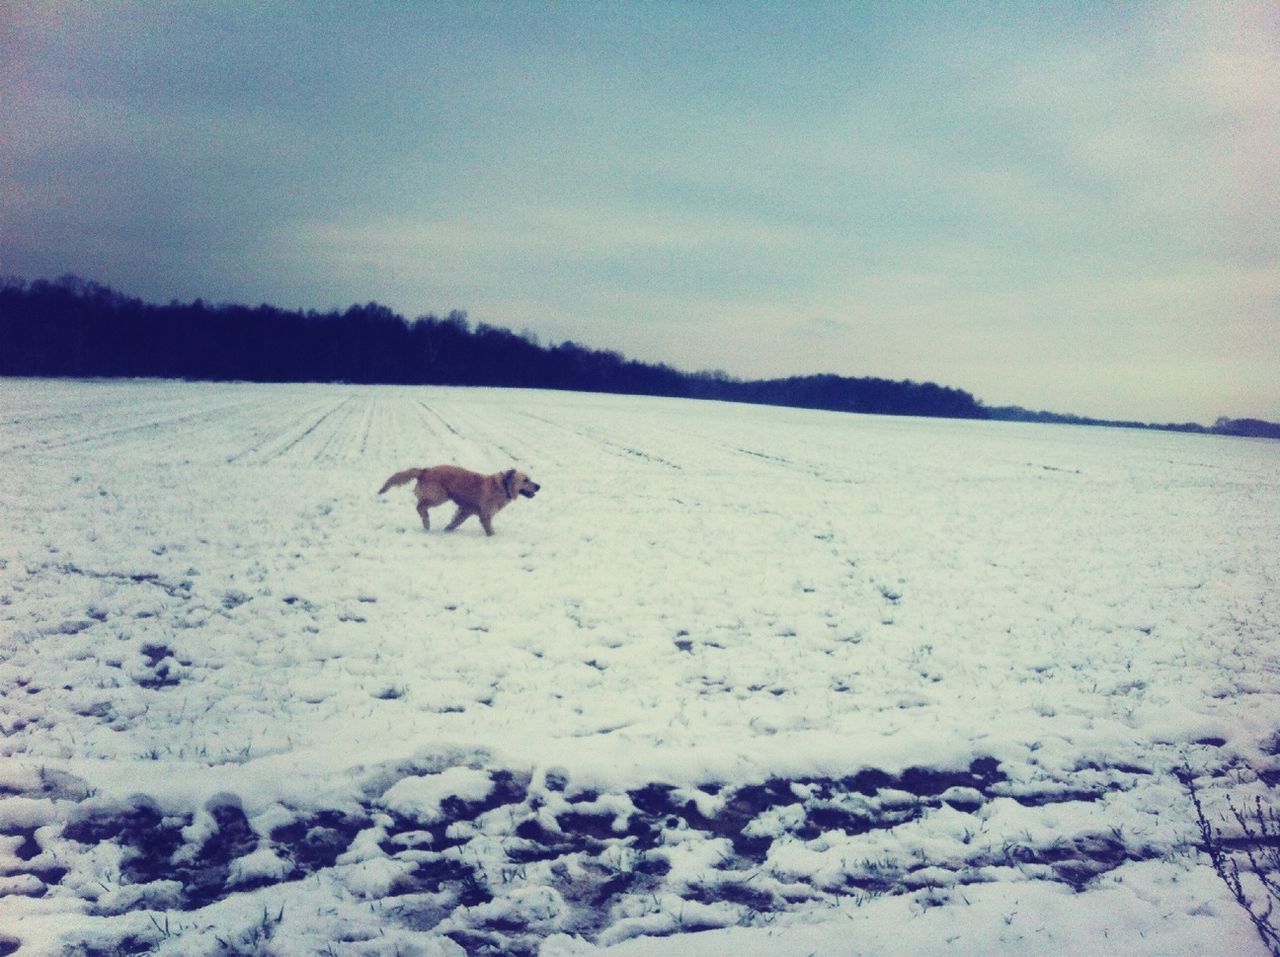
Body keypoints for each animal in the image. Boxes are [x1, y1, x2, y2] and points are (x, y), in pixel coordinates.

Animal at [378, 465, 540, 534]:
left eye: (530, 479)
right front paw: (493, 537)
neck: (503, 486)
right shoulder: (485, 515)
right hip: (440, 496)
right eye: (525, 480)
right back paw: (426, 522)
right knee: (420, 506)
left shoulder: (466, 510)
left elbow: (455, 522)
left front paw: (447, 530)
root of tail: (425, 470)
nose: (539, 486)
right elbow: (489, 529)